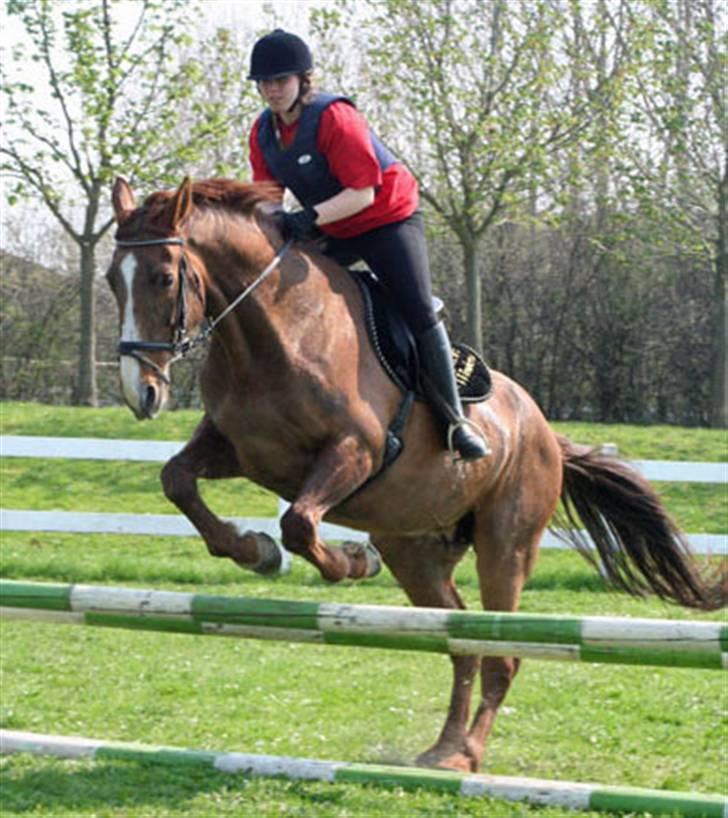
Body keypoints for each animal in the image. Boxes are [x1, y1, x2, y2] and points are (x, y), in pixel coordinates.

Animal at [105, 177, 724, 772]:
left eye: (163, 277)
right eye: (113, 279)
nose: (142, 393)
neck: (272, 331)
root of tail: (549, 434)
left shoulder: (358, 450)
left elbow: (300, 524)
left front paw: (350, 562)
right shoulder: (240, 450)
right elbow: (178, 481)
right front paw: (253, 551)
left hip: (506, 545)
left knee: (503, 652)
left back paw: (465, 753)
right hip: (418, 551)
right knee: (462, 641)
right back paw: (442, 746)